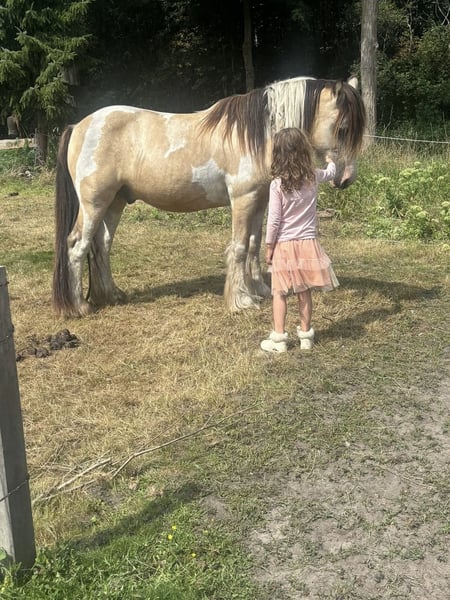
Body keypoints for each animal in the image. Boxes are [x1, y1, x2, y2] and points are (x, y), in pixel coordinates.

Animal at [53, 75, 366, 318]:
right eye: (342, 129)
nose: (346, 179)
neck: (256, 136)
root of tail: (78, 126)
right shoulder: (242, 199)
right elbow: (238, 248)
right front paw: (241, 301)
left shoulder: (260, 201)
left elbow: (253, 246)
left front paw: (259, 290)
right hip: (94, 204)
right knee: (77, 245)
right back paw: (79, 307)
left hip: (115, 202)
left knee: (102, 245)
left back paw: (112, 295)